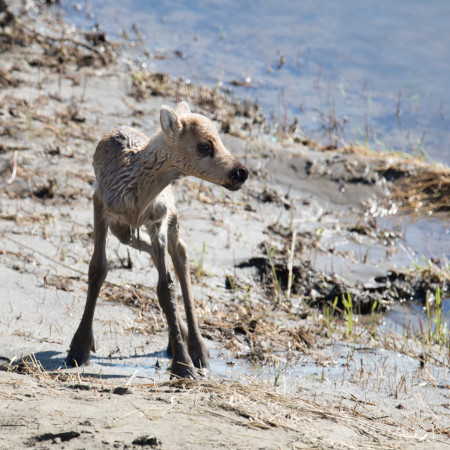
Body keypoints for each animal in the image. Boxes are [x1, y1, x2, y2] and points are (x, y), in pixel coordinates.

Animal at [67, 101, 250, 376]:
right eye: (205, 146)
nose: (241, 172)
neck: (136, 191)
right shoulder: (100, 203)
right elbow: (98, 268)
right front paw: (78, 349)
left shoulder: (159, 219)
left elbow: (165, 288)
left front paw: (184, 366)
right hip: (123, 229)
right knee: (158, 250)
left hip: (170, 216)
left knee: (180, 253)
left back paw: (198, 349)